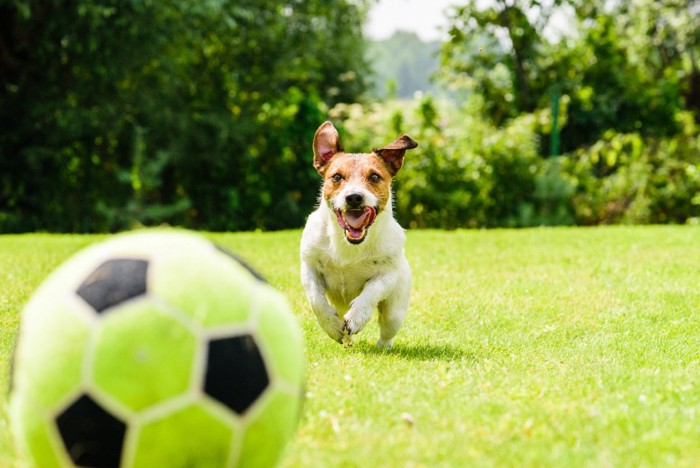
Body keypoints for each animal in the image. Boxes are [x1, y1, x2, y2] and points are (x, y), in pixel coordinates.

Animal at [300, 120, 418, 348]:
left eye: (374, 176)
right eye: (337, 177)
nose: (354, 197)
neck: (349, 245)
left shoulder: (387, 273)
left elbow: (372, 291)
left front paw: (357, 317)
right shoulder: (309, 265)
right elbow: (316, 299)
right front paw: (331, 326)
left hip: (395, 308)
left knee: (388, 329)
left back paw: (382, 347)